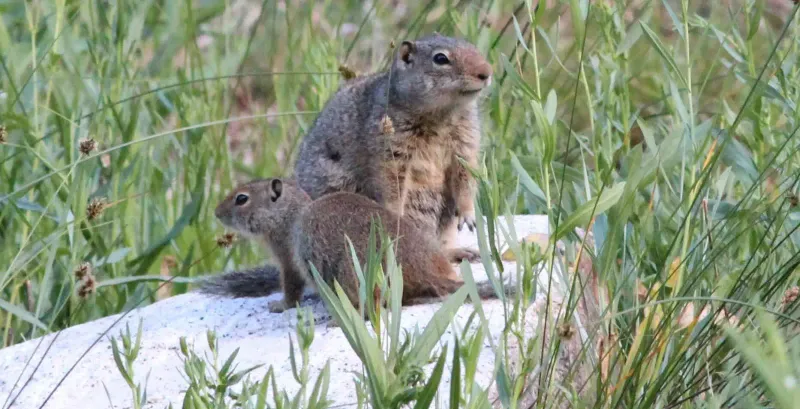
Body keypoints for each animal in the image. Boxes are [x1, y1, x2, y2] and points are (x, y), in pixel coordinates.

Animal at [202, 177, 500, 310]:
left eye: (241, 198)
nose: (215, 212)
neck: (291, 214)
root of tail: (426, 271)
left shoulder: (290, 261)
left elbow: (292, 289)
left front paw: (279, 305)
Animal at [296, 31, 494, 262]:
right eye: (440, 58)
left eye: (473, 47)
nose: (486, 72)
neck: (442, 115)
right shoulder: (391, 149)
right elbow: (391, 183)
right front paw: (395, 215)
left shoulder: (465, 142)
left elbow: (466, 177)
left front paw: (469, 215)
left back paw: (460, 253)